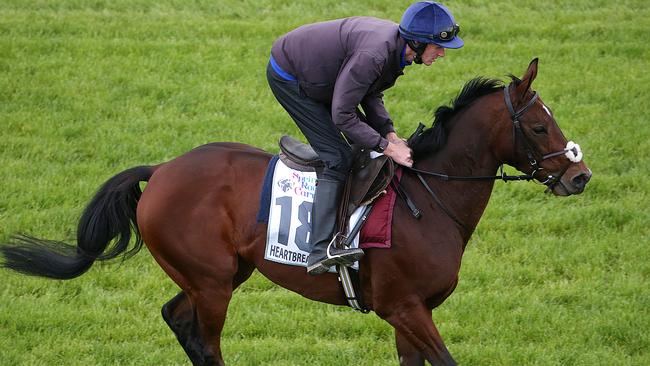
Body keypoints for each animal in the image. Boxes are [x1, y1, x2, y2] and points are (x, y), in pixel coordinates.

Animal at [0, 58, 588, 364]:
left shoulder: (411, 312)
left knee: (177, 318)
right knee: (205, 339)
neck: (429, 199)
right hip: (212, 281)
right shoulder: (404, 307)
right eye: (540, 126)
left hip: (223, 273)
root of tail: (163, 169)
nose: (578, 176)